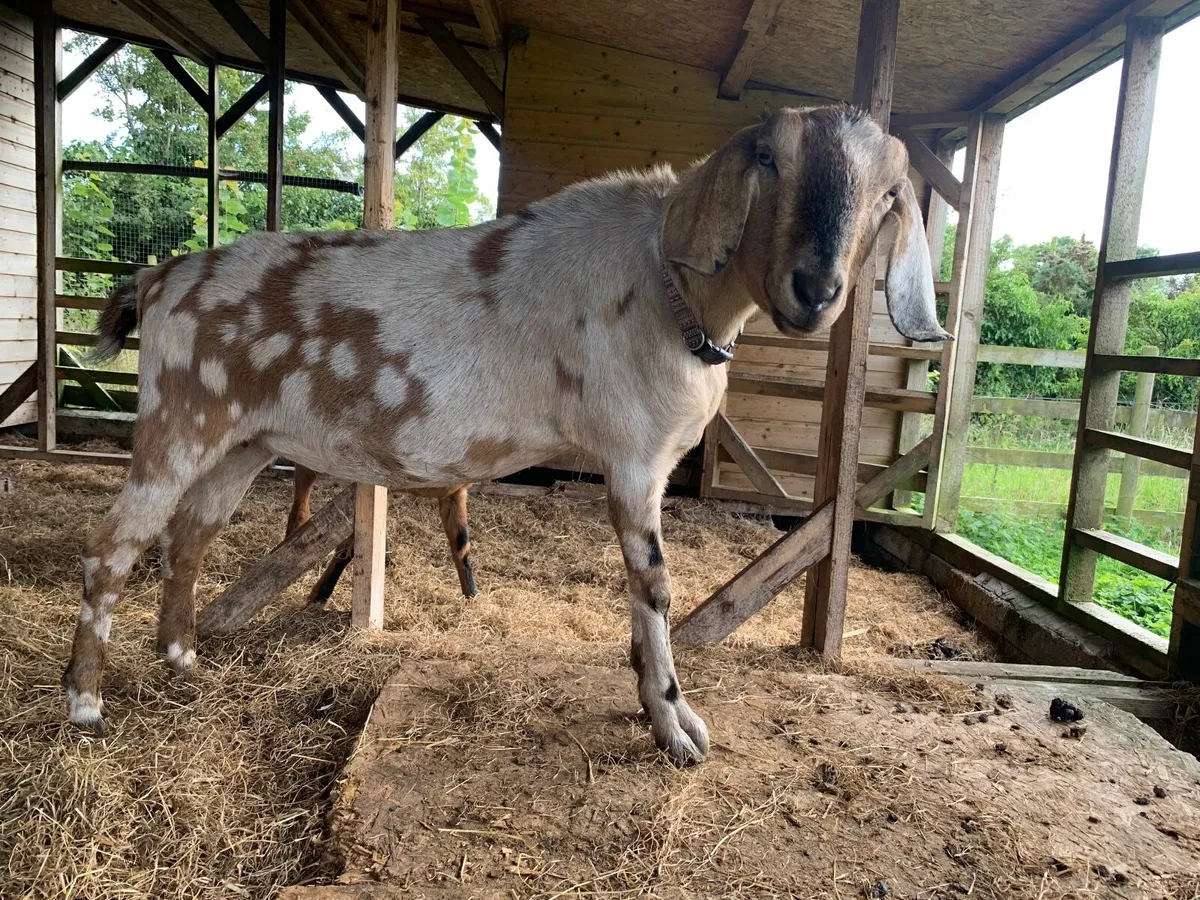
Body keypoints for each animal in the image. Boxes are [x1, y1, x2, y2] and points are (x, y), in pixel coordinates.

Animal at [286, 465, 477, 602]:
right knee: (302, 493)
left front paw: (472, 597)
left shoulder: (455, 493)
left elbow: (461, 547)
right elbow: (350, 545)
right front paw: (318, 596)